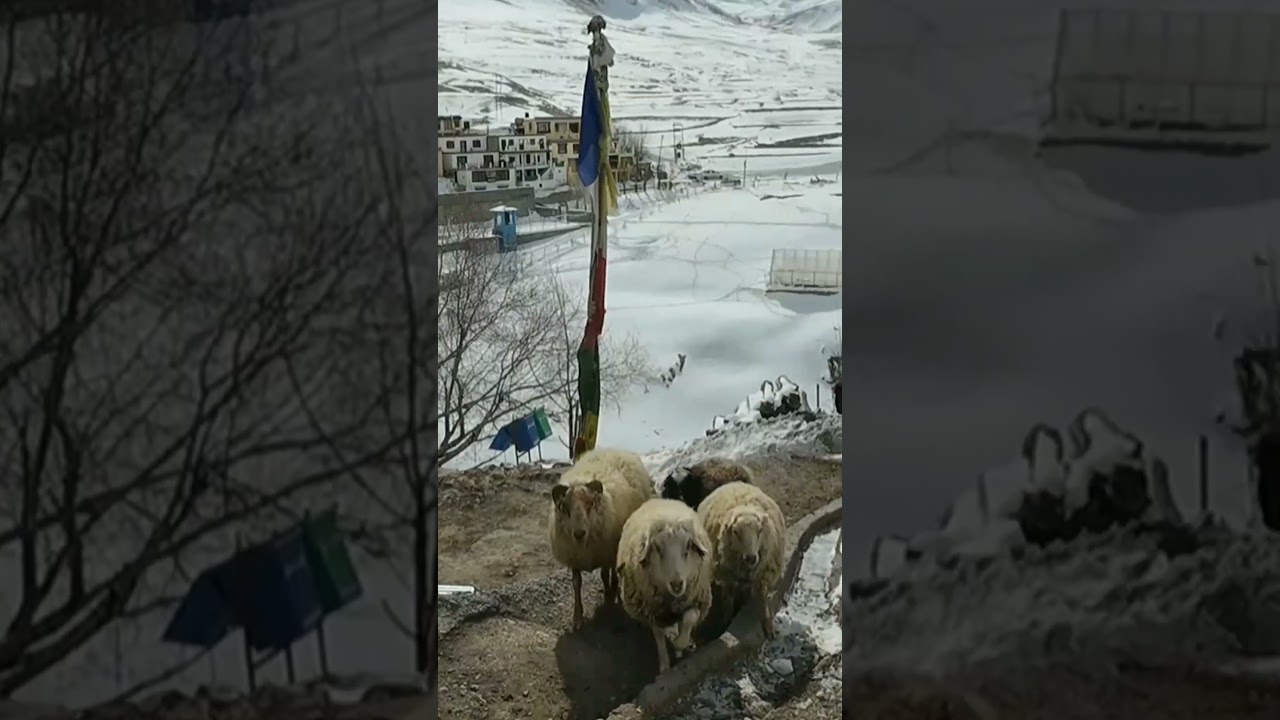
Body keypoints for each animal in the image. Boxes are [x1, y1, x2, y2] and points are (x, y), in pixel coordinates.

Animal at [549, 448, 655, 629]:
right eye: (565, 507)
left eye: (590, 504)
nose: (579, 533)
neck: (583, 545)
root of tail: (616, 449)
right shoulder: (574, 558)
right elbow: (576, 583)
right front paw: (577, 617)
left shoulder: (605, 553)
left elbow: (605, 575)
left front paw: (608, 600)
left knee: (614, 571)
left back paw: (614, 590)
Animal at [616, 498, 714, 672]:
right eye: (657, 547)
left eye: (688, 545)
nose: (677, 584)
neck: (672, 599)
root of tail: (659, 499)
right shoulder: (653, 610)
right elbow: (659, 635)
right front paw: (664, 665)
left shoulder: (696, 600)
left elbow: (689, 618)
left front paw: (680, 644)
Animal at [697, 481, 785, 639]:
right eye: (736, 532)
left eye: (760, 530)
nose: (751, 558)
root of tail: (735, 483)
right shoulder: (728, 577)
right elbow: (728, 601)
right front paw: (726, 622)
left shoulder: (763, 574)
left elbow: (762, 598)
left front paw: (768, 627)